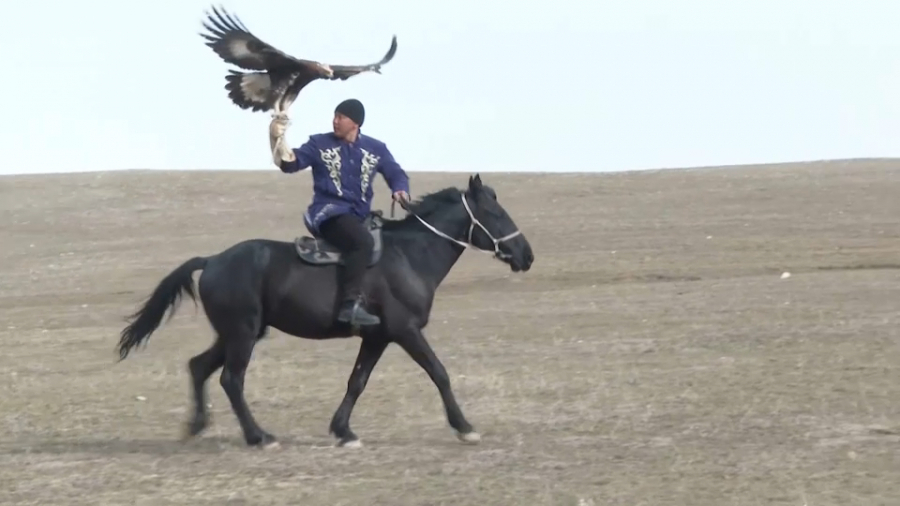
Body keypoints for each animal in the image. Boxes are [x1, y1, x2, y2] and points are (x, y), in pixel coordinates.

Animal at [115, 174, 532, 446]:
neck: (410, 255)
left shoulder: (378, 337)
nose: (526, 255)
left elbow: (357, 381)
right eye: (495, 214)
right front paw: (464, 426)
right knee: (231, 380)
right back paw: (258, 436)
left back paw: (197, 426)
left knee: (199, 366)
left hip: (238, 333)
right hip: (242, 334)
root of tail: (213, 259)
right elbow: (439, 373)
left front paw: (343, 431)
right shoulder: (406, 331)